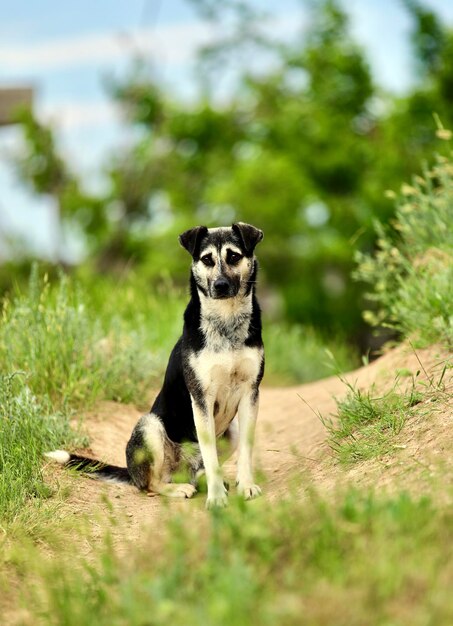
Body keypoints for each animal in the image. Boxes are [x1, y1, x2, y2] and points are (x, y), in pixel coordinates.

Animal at [45, 222, 264, 504]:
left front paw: (246, 485)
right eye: (207, 259)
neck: (226, 322)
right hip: (149, 426)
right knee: (152, 484)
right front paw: (216, 498)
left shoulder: (251, 392)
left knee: (199, 467)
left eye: (234, 256)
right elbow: (210, 453)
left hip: (231, 430)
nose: (220, 285)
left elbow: (246, 450)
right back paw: (179, 488)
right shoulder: (201, 397)